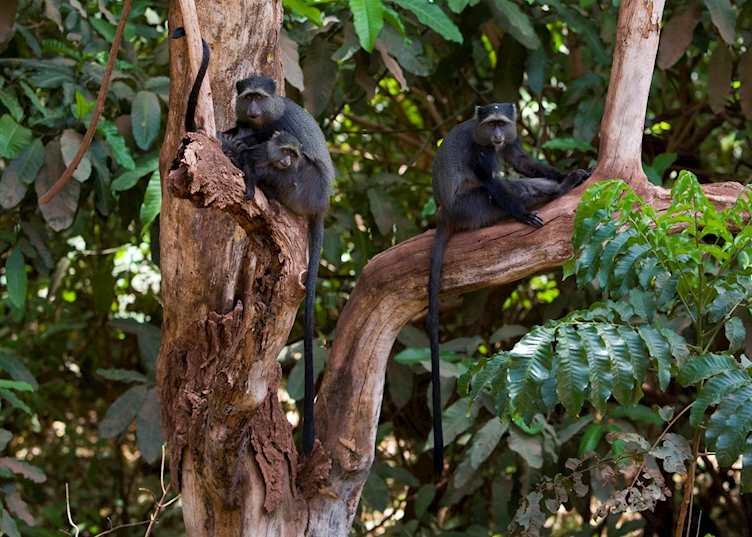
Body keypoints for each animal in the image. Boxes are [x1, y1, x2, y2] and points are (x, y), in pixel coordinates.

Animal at [428, 103, 589, 474]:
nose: (499, 135)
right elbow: (493, 180)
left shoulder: (512, 143)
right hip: (472, 208)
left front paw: (568, 172)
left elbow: (524, 161)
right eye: (491, 125)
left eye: (503, 123)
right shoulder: (481, 152)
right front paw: (524, 210)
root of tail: (447, 214)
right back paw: (554, 194)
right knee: (503, 188)